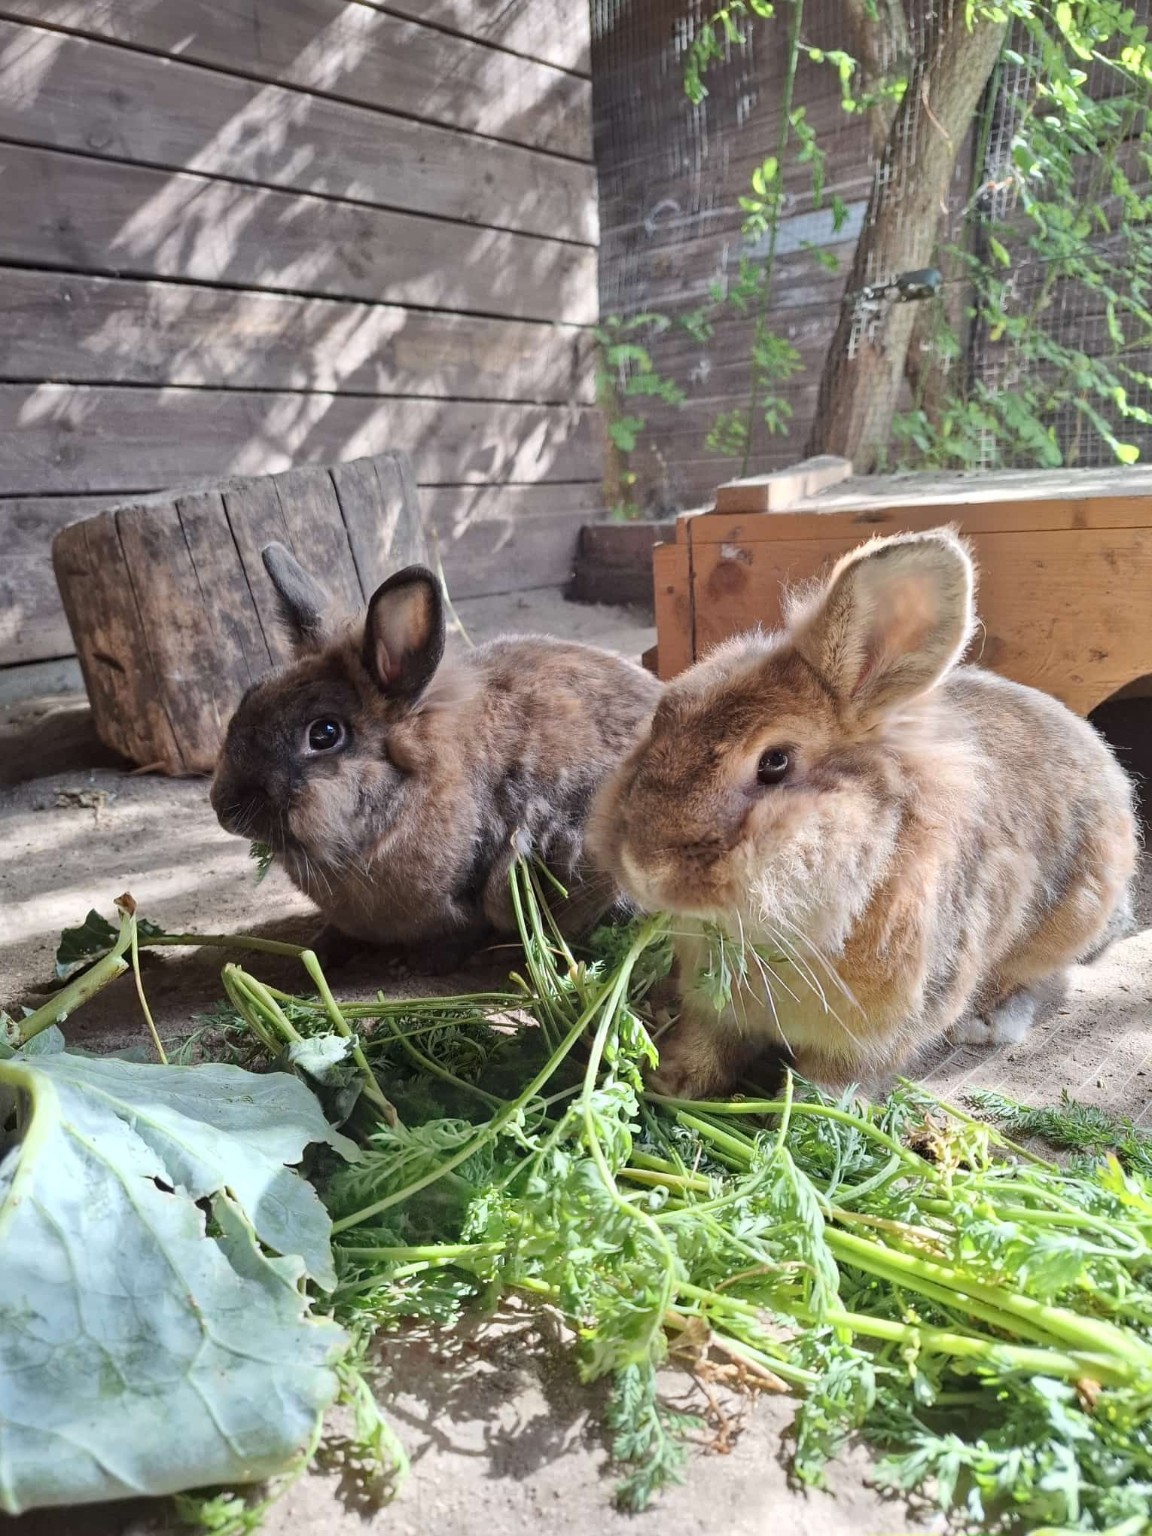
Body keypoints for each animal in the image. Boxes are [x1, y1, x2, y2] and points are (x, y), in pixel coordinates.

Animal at [210, 543, 662, 971]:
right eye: (251, 695)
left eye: (324, 733)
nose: (223, 808)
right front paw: (317, 953)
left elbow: (462, 934)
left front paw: (416, 965)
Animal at [589, 527, 1139, 1099]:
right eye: (661, 721)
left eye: (775, 762)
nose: (643, 866)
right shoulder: (713, 1010)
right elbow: (707, 1043)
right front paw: (668, 1082)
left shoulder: (877, 1034)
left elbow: (833, 1083)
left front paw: (793, 1114)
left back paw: (985, 1020)